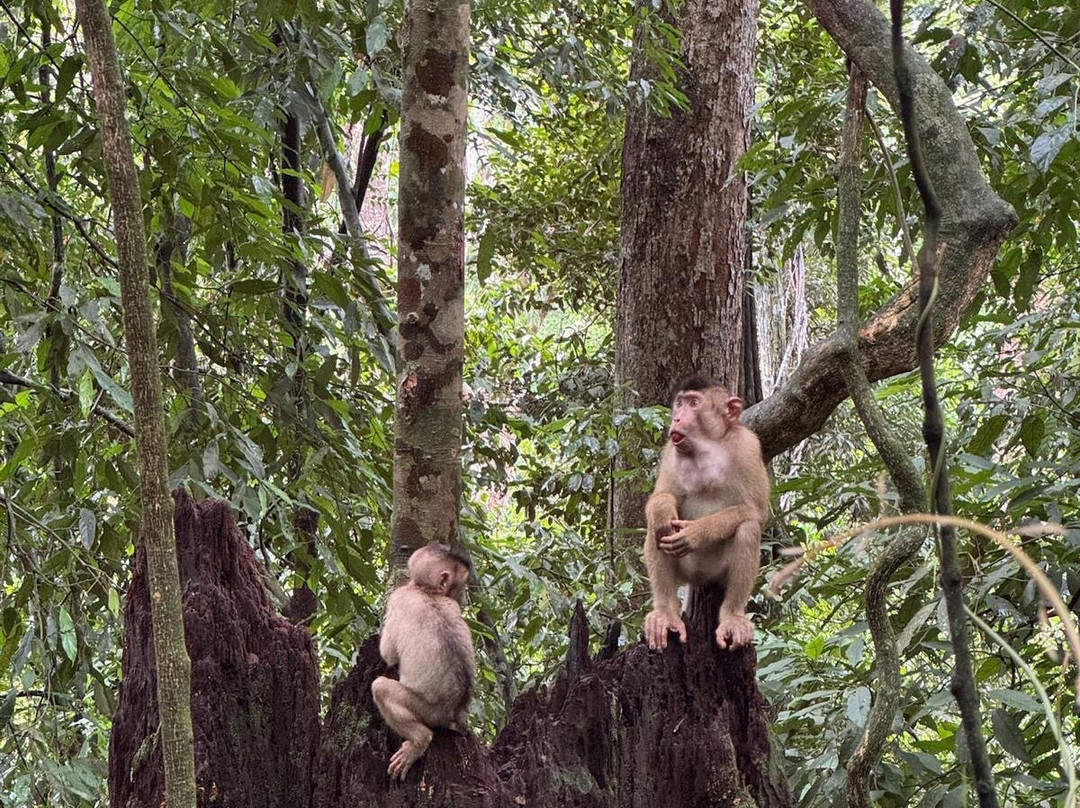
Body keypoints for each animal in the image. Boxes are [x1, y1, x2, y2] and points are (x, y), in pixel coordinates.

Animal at [371, 543, 475, 781]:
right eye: (460, 585)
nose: (463, 597)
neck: (427, 591)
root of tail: (454, 711)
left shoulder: (399, 597)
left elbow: (388, 653)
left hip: (427, 710)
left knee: (380, 688)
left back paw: (419, 740)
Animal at [643, 377, 771, 652]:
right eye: (679, 403)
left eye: (693, 403)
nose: (677, 418)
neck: (707, 445)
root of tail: (699, 577)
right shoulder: (671, 451)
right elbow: (661, 496)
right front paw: (662, 509)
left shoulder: (748, 445)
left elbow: (756, 510)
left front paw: (696, 532)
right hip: (685, 568)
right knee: (657, 530)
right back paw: (665, 613)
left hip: (718, 571)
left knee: (748, 527)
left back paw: (732, 617)